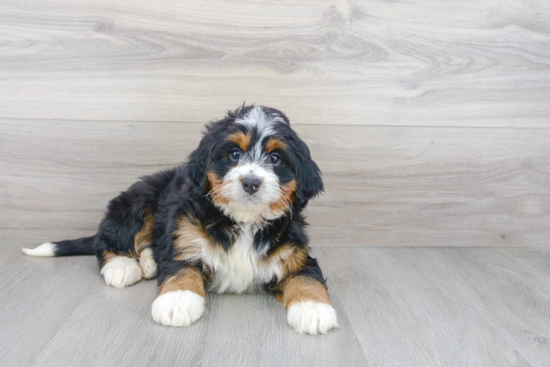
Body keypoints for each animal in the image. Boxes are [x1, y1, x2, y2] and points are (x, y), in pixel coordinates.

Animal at [23, 105, 338, 336]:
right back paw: (123, 266)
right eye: (234, 154)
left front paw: (313, 309)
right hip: (140, 200)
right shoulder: (186, 237)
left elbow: (306, 276)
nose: (251, 182)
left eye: (275, 159)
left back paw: (149, 261)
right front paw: (177, 300)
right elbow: (181, 268)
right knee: (109, 239)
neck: (244, 221)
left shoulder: (294, 252)